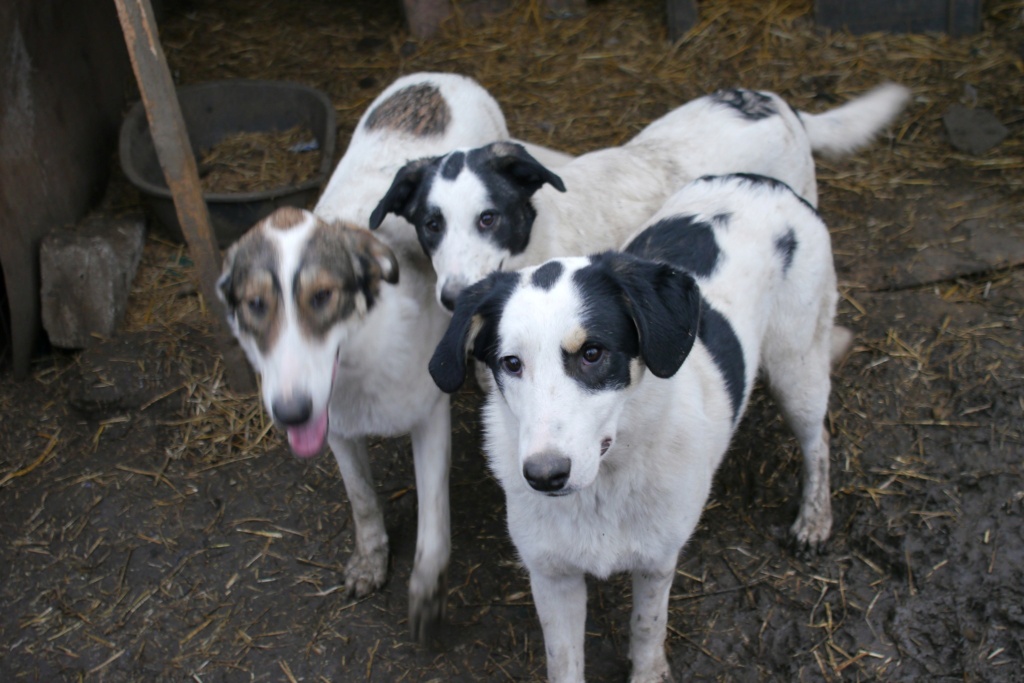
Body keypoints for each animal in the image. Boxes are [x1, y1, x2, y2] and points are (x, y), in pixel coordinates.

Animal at [215, 72, 573, 643]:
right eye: (254, 306)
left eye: (323, 296)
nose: (291, 412)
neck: (361, 359)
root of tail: (437, 76)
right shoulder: (335, 428)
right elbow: (362, 502)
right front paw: (370, 561)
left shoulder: (429, 419)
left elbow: (432, 526)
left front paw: (426, 597)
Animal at [430, 174, 847, 679]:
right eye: (510, 363)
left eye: (592, 353)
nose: (545, 476)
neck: (604, 487)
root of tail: (763, 181)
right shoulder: (552, 574)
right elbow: (563, 660)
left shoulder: (657, 561)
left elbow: (649, 627)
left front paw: (649, 671)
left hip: (796, 367)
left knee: (818, 438)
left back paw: (814, 520)